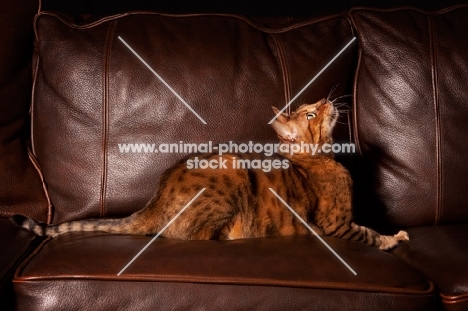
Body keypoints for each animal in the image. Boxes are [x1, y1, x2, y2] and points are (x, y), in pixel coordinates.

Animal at [11, 98, 410, 252]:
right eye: (311, 113)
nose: (327, 101)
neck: (320, 160)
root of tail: (153, 200)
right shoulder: (336, 225)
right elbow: (369, 233)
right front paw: (394, 238)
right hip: (229, 175)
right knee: (193, 236)